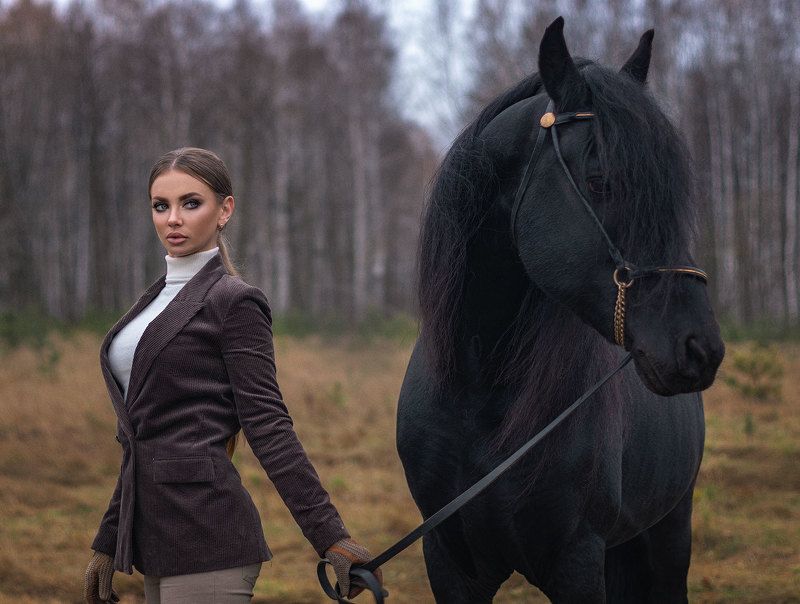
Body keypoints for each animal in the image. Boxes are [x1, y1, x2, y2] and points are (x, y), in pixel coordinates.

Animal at [396, 17, 724, 603]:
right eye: (599, 182)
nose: (700, 348)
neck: (478, 394)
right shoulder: (450, 563)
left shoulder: (576, 562)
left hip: (668, 536)